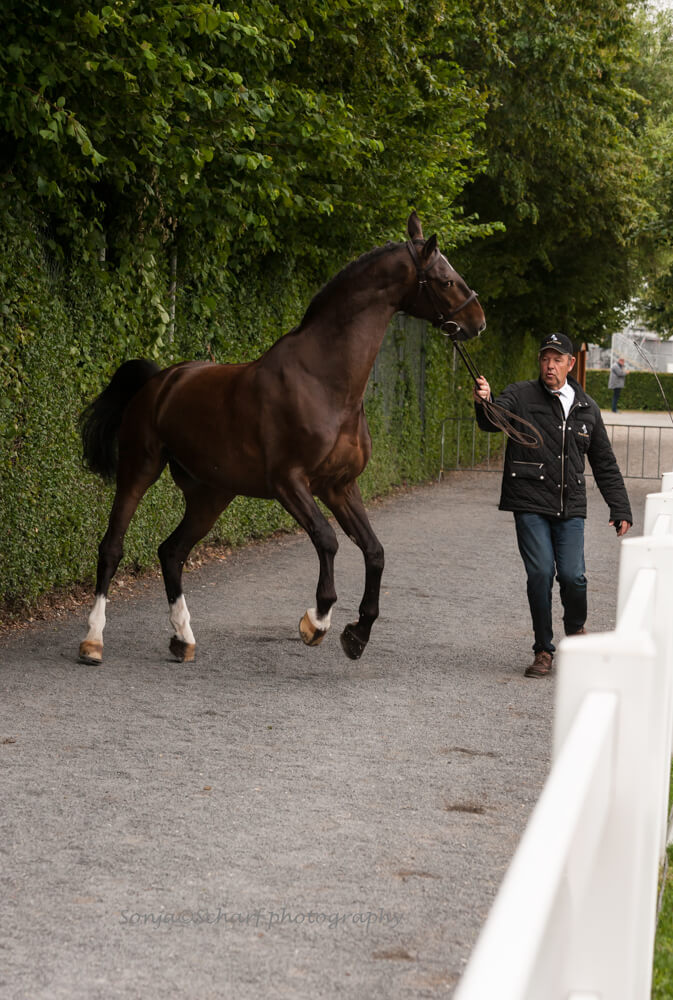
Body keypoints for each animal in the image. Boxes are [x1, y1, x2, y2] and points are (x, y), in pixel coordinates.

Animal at [78, 211, 486, 665]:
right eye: (446, 280)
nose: (477, 322)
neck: (324, 382)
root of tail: (159, 381)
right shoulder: (289, 482)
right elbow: (328, 541)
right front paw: (317, 621)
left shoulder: (340, 486)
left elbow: (374, 552)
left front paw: (357, 634)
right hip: (139, 469)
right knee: (112, 548)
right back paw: (93, 641)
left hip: (210, 494)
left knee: (172, 552)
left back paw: (183, 638)